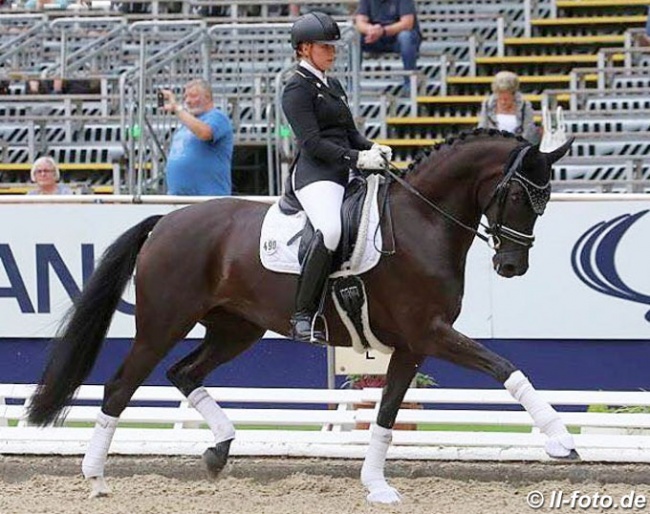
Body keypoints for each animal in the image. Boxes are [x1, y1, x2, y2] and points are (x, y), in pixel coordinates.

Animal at [27, 130, 572, 502]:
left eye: (545, 202)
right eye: (519, 195)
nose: (512, 266)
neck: (423, 221)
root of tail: (167, 220)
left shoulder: (412, 345)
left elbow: (387, 413)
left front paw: (376, 486)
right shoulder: (431, 332)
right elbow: (504, 367)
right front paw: (561, 441)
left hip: (235, 329)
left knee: (183, 372)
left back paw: (219, 450)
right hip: (163, 323)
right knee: (121, 385)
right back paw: (97, 478)